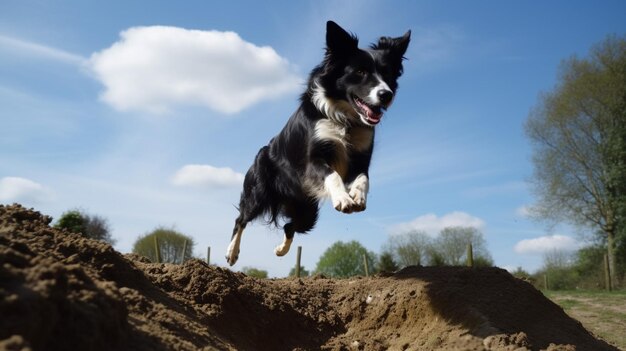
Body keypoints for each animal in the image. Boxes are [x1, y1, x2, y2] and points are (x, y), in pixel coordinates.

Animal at [225, 20, 410, 266]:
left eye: (387, 73)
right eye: (360, 72)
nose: (386, 95)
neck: (345, 119)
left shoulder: (361, 159)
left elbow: (363, 179)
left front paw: (358, 197)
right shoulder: (313, 159)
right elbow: (332, 174)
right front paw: (343, 199)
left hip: (308, 212)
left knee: (289, 226)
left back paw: (280, 250)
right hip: (259, 190)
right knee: (241, 219)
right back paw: (232, 252)